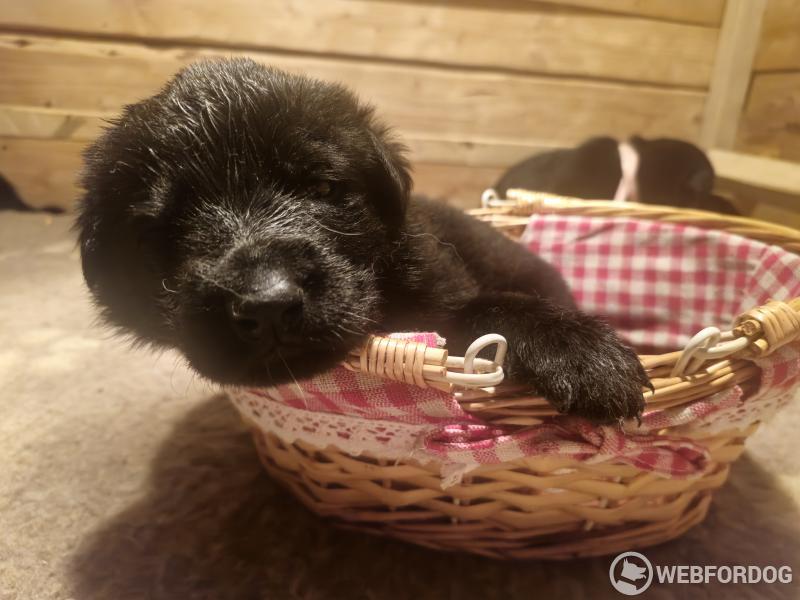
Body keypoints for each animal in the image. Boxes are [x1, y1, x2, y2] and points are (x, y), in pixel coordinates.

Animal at [77, 58, 648, 423]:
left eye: (324, 189)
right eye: (162, 228)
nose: (266, 304)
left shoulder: (444, 285)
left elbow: (484, 309)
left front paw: (581, 351)